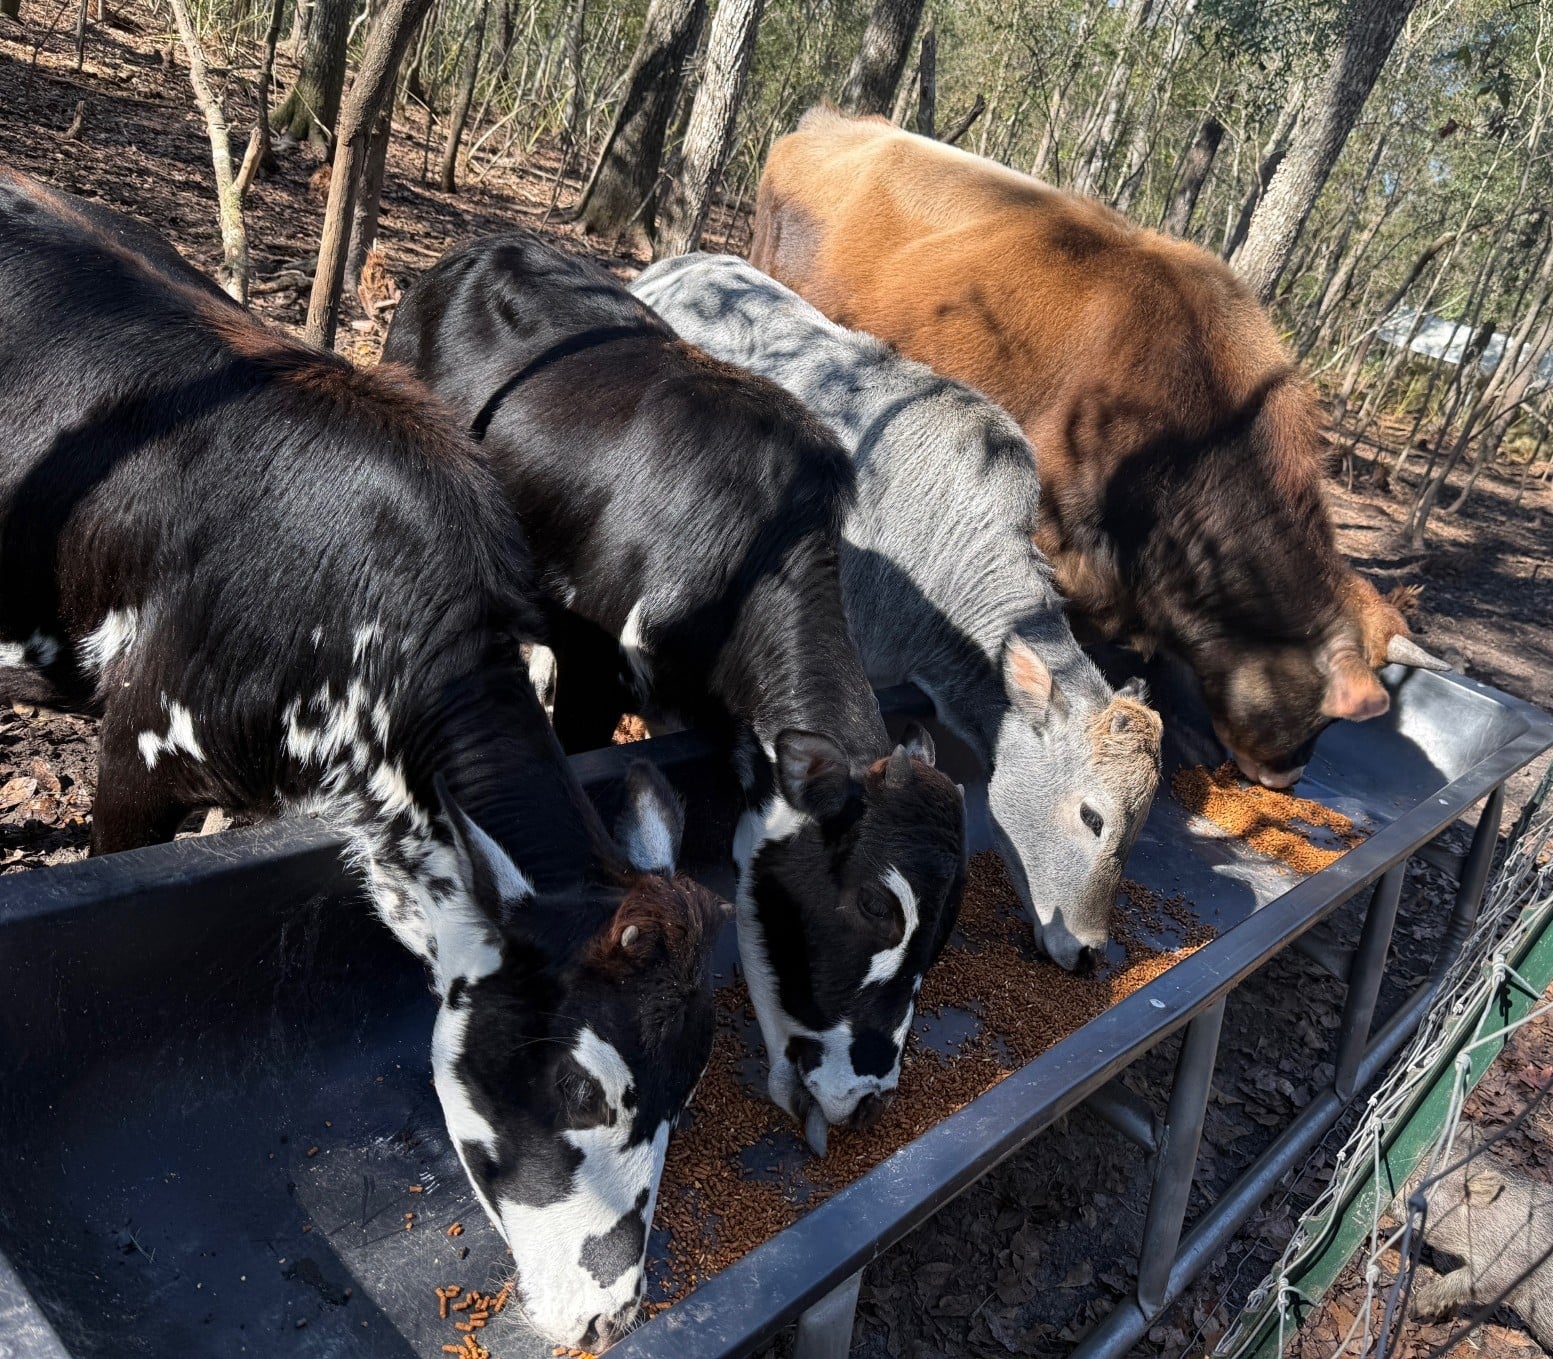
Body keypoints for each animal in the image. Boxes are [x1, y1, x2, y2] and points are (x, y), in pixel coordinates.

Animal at [383, 230, 968, 1155]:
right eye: (874, 907)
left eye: (942, 936)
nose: (870, 1096)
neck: (751, 559)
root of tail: (489, 242)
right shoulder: (590, 665)